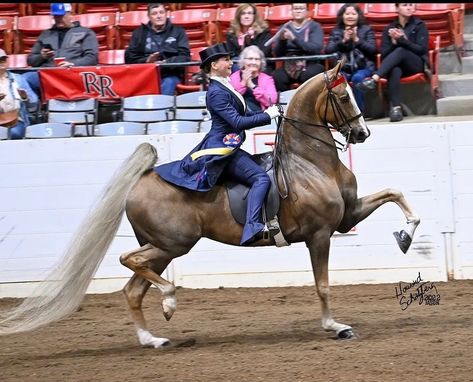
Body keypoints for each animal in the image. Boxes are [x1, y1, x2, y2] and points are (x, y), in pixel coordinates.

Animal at [0, 59, 420, 346]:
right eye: (343, 95)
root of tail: (140, 181)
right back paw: (169, 302)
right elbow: (323, 285)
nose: (362, 133)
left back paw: (153, 338)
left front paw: (406, 236)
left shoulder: (346, 218)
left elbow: (395, 193)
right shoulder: (319, 235)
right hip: (172, 243)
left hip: (163, 248)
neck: (311, 163)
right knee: (129, 262)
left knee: (133, 288)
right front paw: (336, 326)